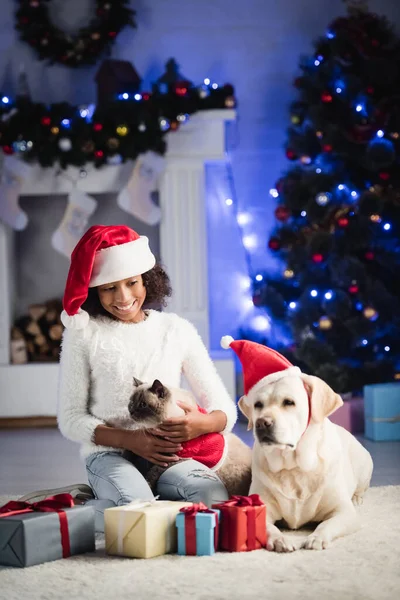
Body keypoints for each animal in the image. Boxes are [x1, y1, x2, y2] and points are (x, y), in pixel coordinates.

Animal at [238, 376, 372, 552]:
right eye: (258, 404)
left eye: (288, 402)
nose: (261, 423)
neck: (294, 467)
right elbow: (268, 527)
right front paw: (280, 539)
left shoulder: (344, 512)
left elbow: (326, 524)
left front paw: (316, 538)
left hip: (364, 462)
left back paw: (356, 498)